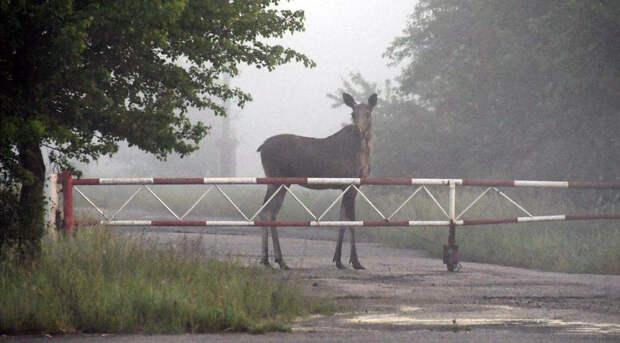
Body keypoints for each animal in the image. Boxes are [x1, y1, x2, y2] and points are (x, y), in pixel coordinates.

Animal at [256, 92, 378, 270]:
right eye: (352, 114)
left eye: (368, 114)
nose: (359, 131)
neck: (364, 152)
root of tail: (261, 147)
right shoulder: (351, 184)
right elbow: (351, 221)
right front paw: (355, 261)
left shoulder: (348, 186)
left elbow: (342, 219)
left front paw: (338, 259)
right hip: (277, 180)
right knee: (267, 212)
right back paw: (276, 260)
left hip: (280, 183)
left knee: (269, 212)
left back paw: (270, 259)